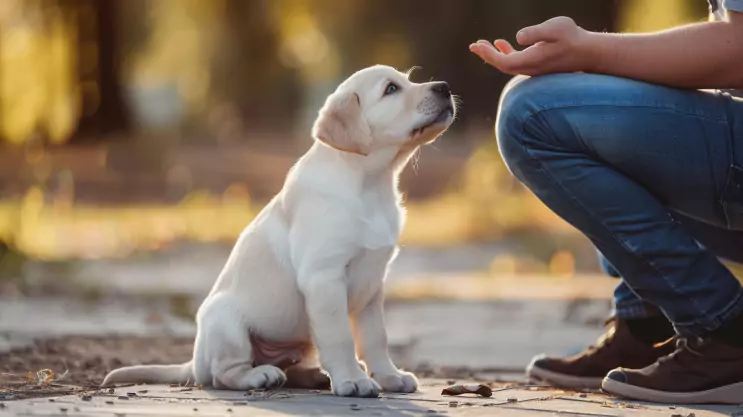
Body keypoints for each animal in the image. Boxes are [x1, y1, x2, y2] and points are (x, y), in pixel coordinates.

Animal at [101, 65, 456, 396]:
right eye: (391, 89)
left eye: (407, 80)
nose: (445, 86)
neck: (371, 183)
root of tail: (194, 360)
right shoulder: (324, 278)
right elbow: (340, 337)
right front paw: (353, 381)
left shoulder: (373, 283)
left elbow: (375, 338)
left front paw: (390, 376)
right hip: (224, 321)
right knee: (225, 373)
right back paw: (261, 375)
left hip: (301, 340)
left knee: (291, 367)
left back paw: (313, 376)